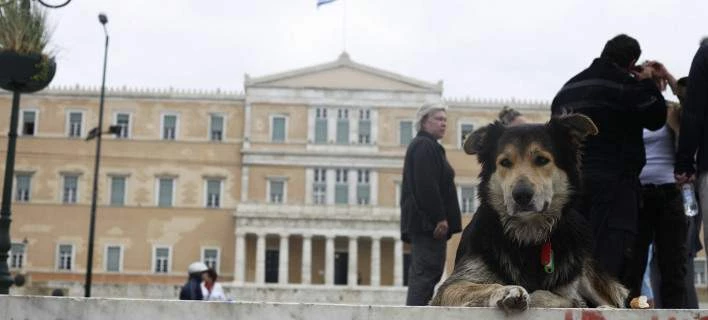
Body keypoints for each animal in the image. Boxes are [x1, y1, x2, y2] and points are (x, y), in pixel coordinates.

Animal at [428, 114, 628, 312]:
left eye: (541, 160)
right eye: (505, 162)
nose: (521, 195)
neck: (527, 236)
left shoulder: (568, 286)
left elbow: (550, 295)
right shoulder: (451, 286)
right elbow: (488, 286)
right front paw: (507, 291)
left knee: (615, 303)